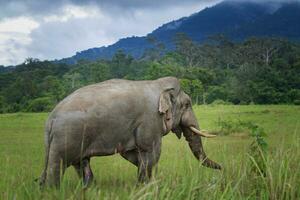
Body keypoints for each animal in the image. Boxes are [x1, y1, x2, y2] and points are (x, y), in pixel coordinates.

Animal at [39, 76, 220, 186]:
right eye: (187, 104)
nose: (222, 168)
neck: (158, 85)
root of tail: (50, 120)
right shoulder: (150, 120)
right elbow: (151, 154)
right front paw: (146, 186)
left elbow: (132, 154)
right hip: (67, 136)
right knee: (58, 165)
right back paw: (53, 190)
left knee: (81, 163)